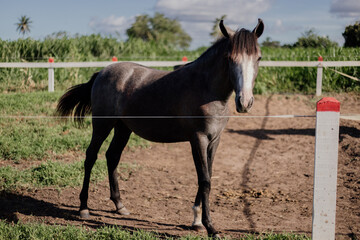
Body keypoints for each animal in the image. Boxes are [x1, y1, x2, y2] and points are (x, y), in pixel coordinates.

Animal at [56, 19, 264, 237]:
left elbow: (207, 175)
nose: (245, 102)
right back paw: (83, 208)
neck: (206, 88)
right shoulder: (198, 139)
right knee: (91, 156)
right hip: (102, 125)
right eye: (229, 58)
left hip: (123, 128)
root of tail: (101, 73)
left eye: (258, 57)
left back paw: (120, 205)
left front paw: (197, 221)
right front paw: (210, 227)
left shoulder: (214, 140)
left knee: (112, 156)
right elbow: (205, 180)